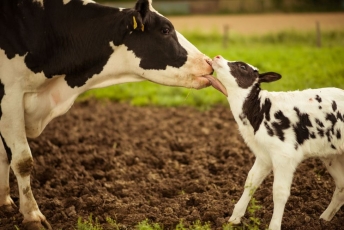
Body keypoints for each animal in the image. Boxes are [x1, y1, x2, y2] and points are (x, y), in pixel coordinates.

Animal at [0, 0, 227, 228]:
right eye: (165, 30)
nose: (208, 62)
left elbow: (4, 156)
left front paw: (4, 201)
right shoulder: (10, 97)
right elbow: (22, 160)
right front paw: (32, 215)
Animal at [212, 55, 344, 230]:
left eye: (242, 66)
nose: (217, 56)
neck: (258, 112)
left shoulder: (285, 156)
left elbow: (280, 192)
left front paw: (274, 225)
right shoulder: (264, 155)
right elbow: (250, 182)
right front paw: (234, 218)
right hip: (332, 156)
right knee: (342, 186)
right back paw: (323, 219)